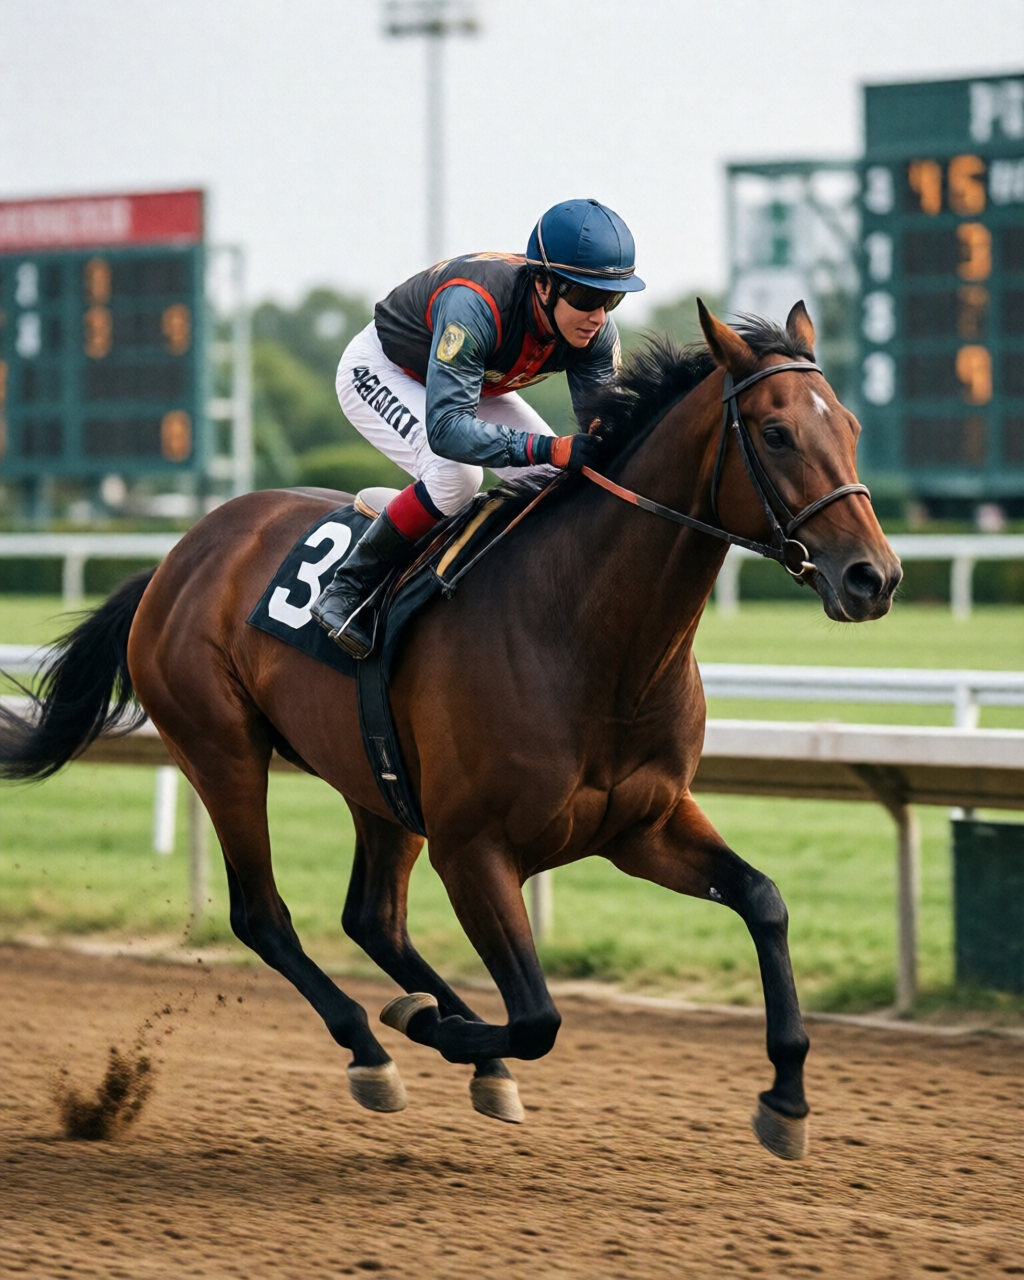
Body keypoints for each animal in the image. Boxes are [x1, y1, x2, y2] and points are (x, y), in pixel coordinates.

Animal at [0, 301, 900, 1160]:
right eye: (777, 433)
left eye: (853, 426)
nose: (875, 577)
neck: (590, 636)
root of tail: (174, 560)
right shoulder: (473, 848)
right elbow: (537, 1016)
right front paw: (432, 1024)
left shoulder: (642, 825)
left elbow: (763, 900)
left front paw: (787, 1096)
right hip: (221, 751)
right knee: (263, 915)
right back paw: (376, 1044)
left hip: (377, 779)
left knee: (372, 917)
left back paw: (454, 1046)